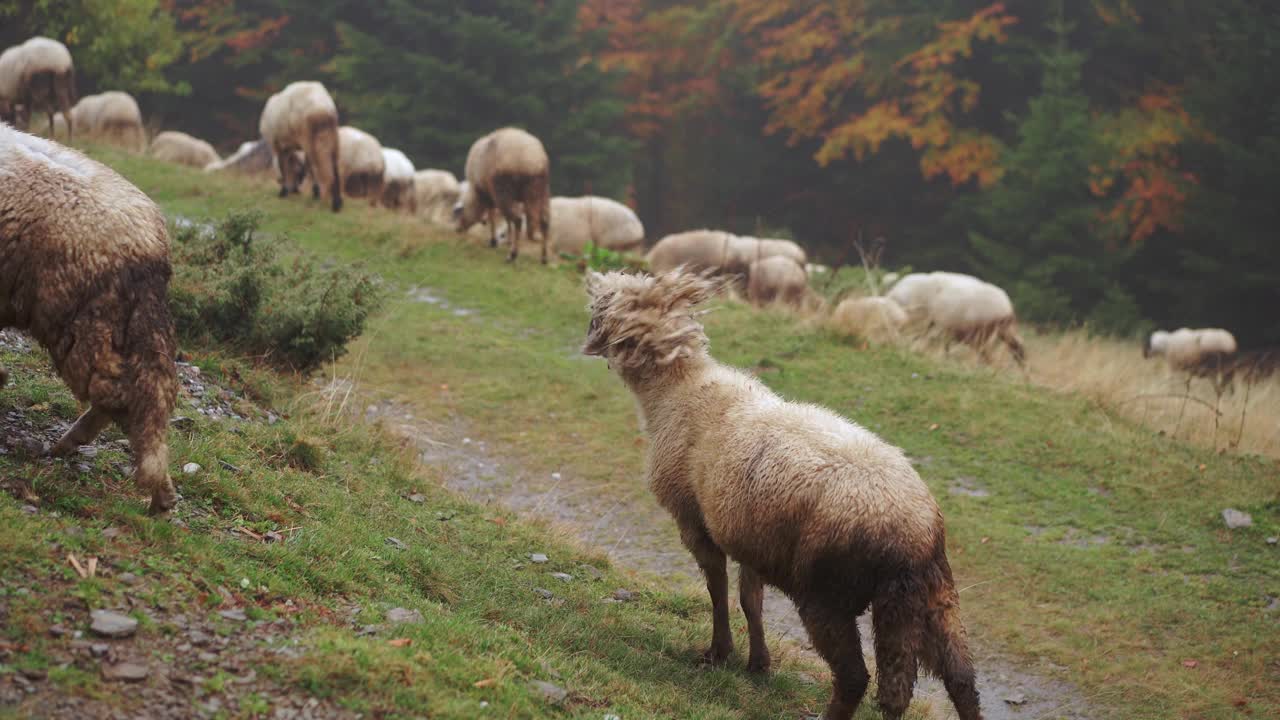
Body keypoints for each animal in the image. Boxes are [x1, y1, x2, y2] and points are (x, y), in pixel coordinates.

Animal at [257, 82, 340, 210]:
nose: (294, 190)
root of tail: (321, 105)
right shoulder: (288, 147)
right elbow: (300, 166)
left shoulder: (278, 145)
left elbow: (284, 166)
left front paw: (284, 192)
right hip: (329, 134)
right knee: (332, 162)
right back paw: (336, 202)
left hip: (307, 135)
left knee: (315, 163)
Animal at [455, 126, 550, 263]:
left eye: (461, 212)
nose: (457, 229)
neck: (475, 194)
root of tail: (532, 160)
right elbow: (504, 219)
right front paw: (504, 240)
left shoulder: (488, 194)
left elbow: (492, 215)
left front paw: (493, 241)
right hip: (541, 191)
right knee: (544, 221)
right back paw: (544, 257)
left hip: (504, 189)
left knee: (518, 220)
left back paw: (513, 254)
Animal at [586, 267, 983, 717]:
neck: (677, 389)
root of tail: (916, 536)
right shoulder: (750, 535)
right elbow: (750, 599)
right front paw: (758, 662)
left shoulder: (694, 520)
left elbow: (717, 589)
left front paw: (718, 653)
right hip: (934, 596)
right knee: (960, 680)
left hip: (827, 595)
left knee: (855, 677)